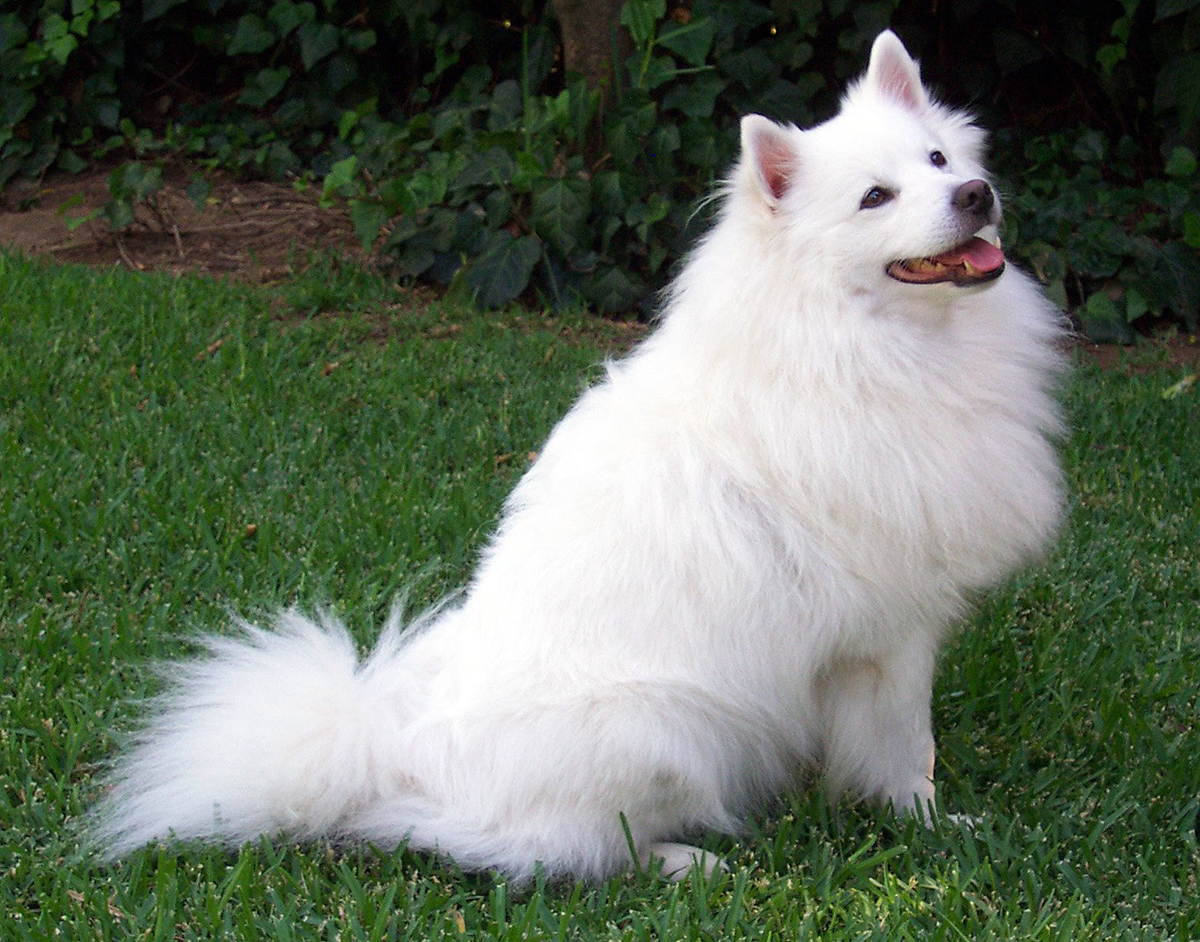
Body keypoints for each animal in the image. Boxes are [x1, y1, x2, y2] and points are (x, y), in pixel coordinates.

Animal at [91, 31, 1060, 883]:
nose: (976, 193)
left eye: (938, 160)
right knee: (571, 851)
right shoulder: (891, 637)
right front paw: (931, 826)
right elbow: (907, 752)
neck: (856, 345)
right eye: (874, 198)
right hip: (664, 736)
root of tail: (392, 753)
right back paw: (690, 861)